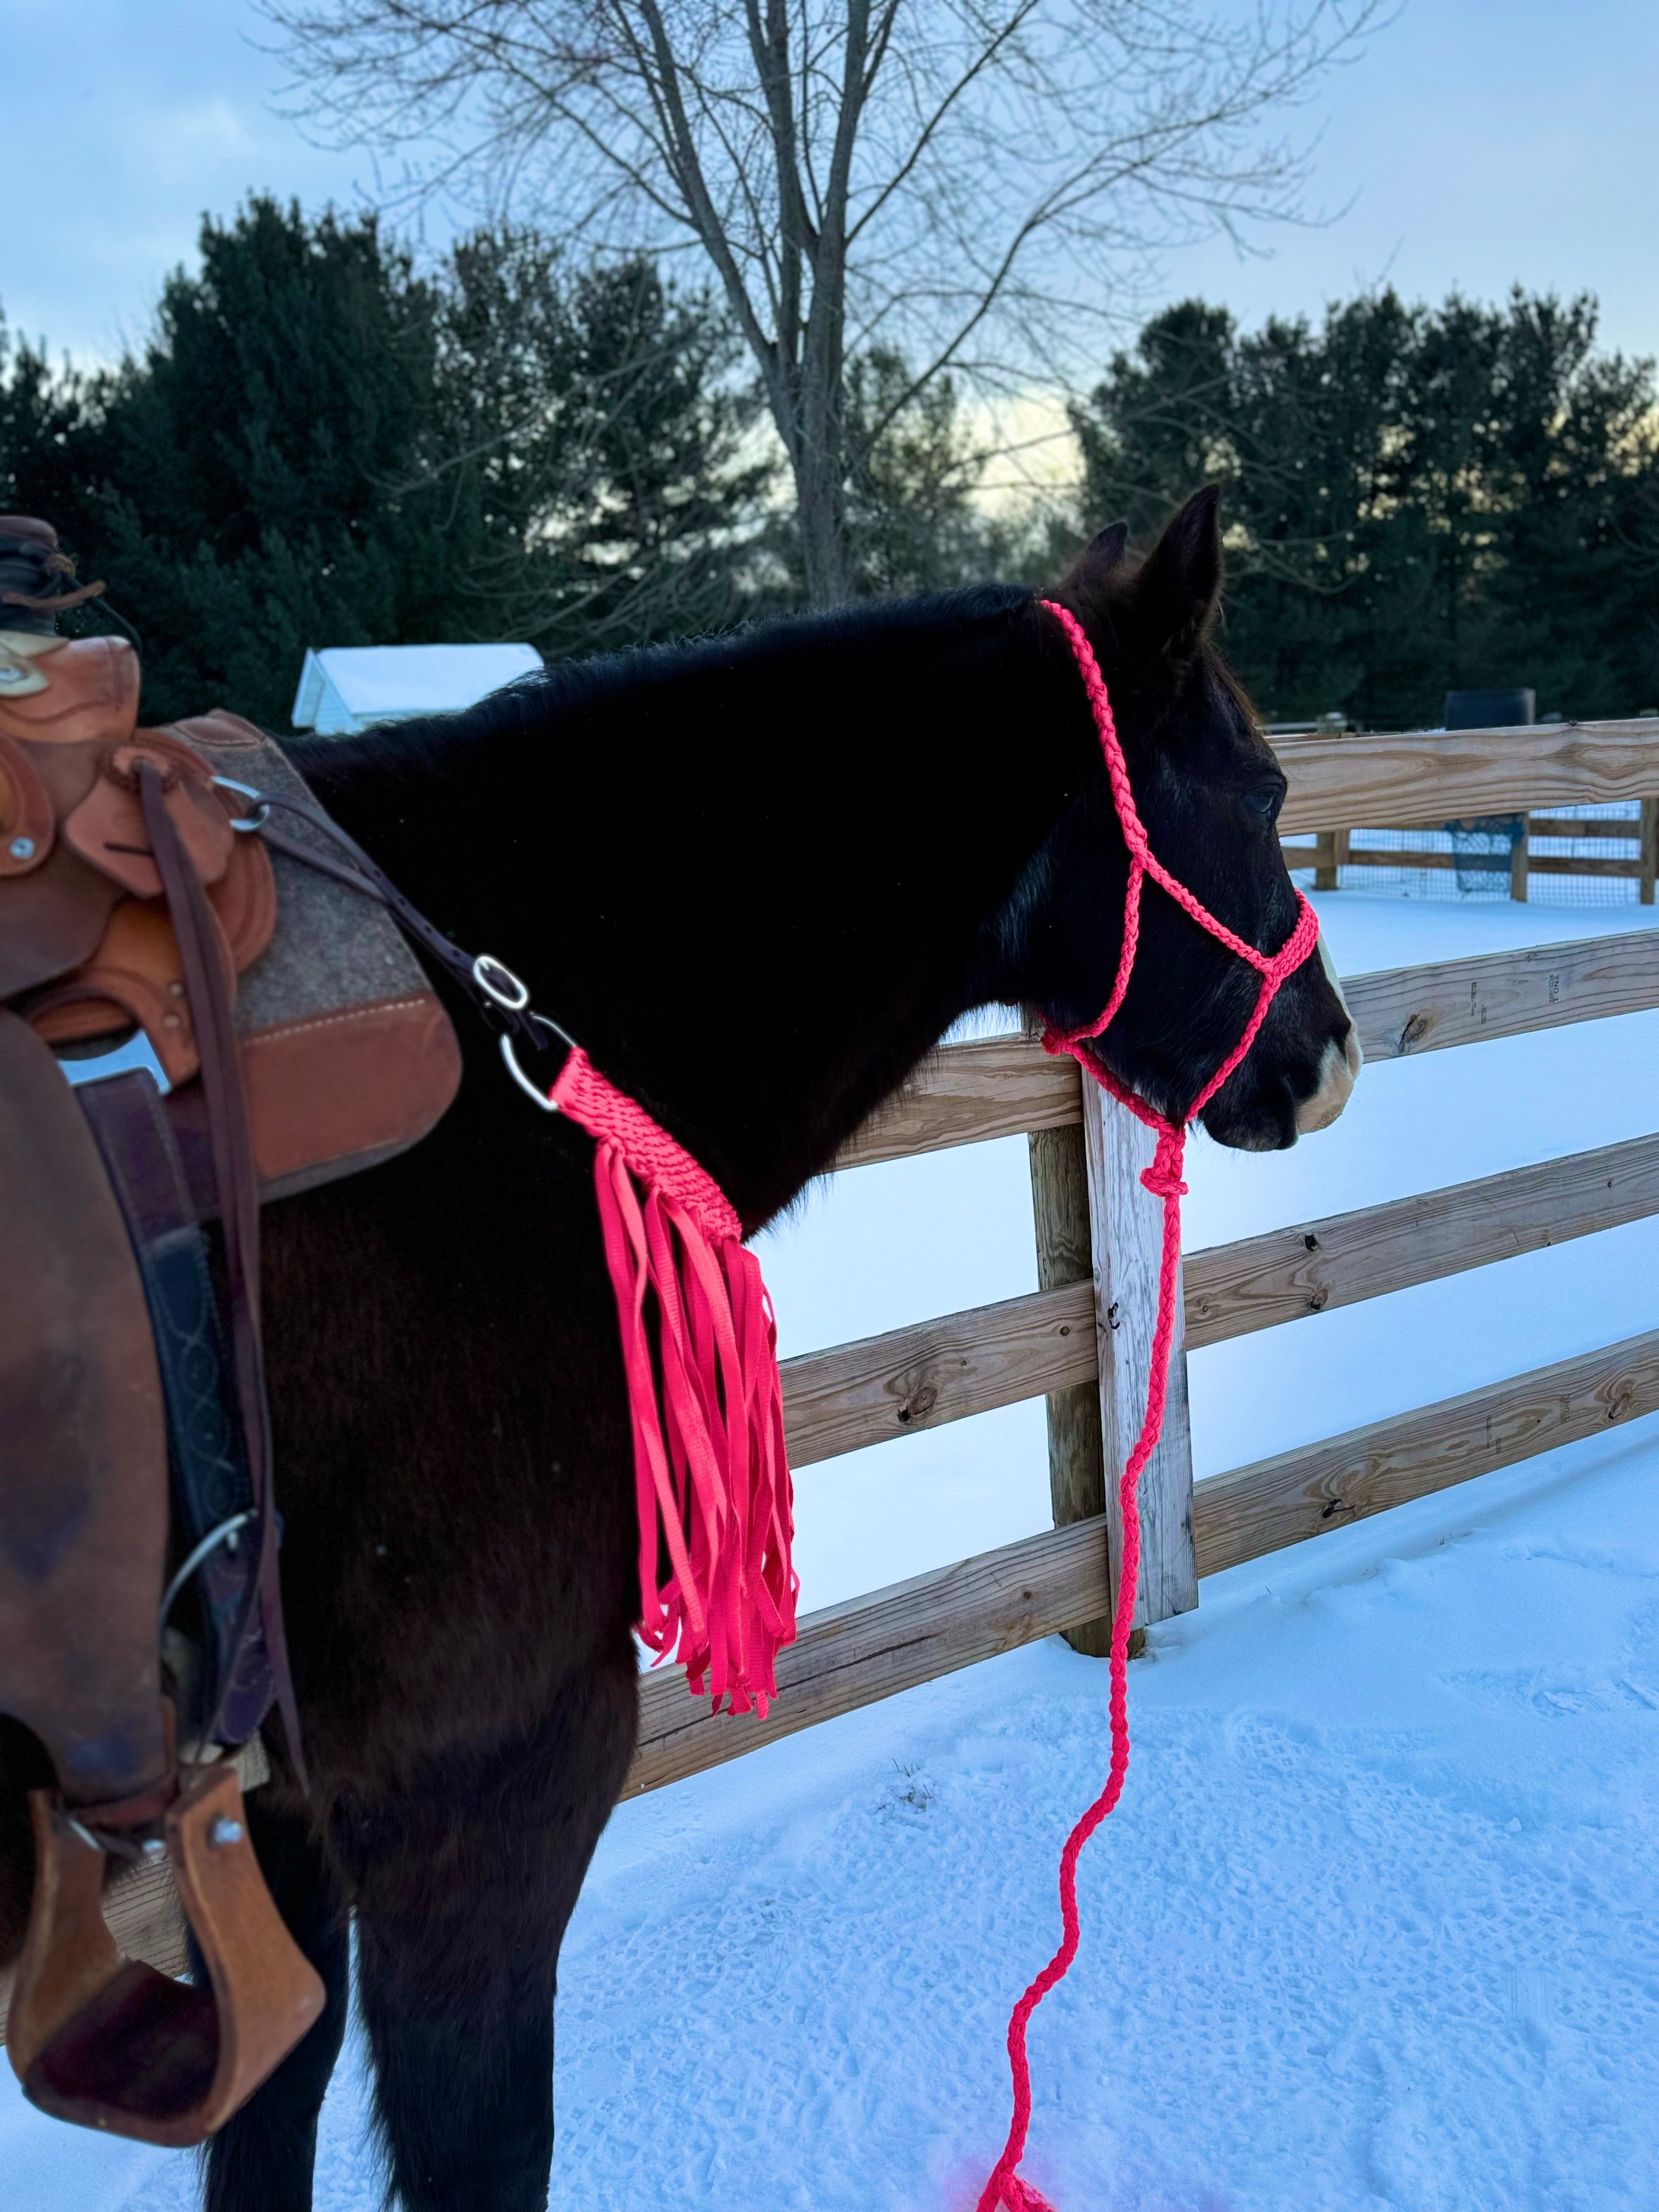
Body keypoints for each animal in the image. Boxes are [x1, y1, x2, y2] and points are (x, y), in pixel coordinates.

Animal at [0, 475, 1353, 2203]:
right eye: (1260, 791)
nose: (1331, 1055)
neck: (508, 1059)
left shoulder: (277, 1803)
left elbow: (272, 2119)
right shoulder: (484, 1782)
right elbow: (482, 2141)